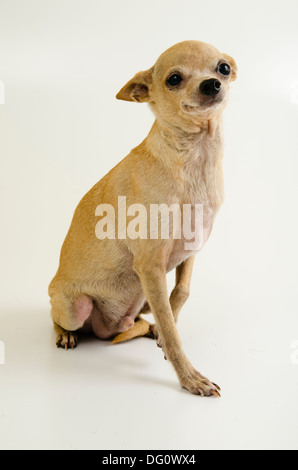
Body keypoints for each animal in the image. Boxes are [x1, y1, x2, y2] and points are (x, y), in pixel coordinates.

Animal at [49, 40, 237, 396]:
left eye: (222, 68)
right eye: (174, 79)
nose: (212, 84)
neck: (196, 156)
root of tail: (107, 329)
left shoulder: (189, 251)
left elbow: (179, 294)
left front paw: (162, 333)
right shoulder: (151, 266)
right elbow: (172, 329)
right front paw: (190, 378)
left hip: (137, 305)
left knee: (140, 318)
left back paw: (142, 327)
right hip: (73, 307)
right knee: (60, 318)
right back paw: (65, 334)